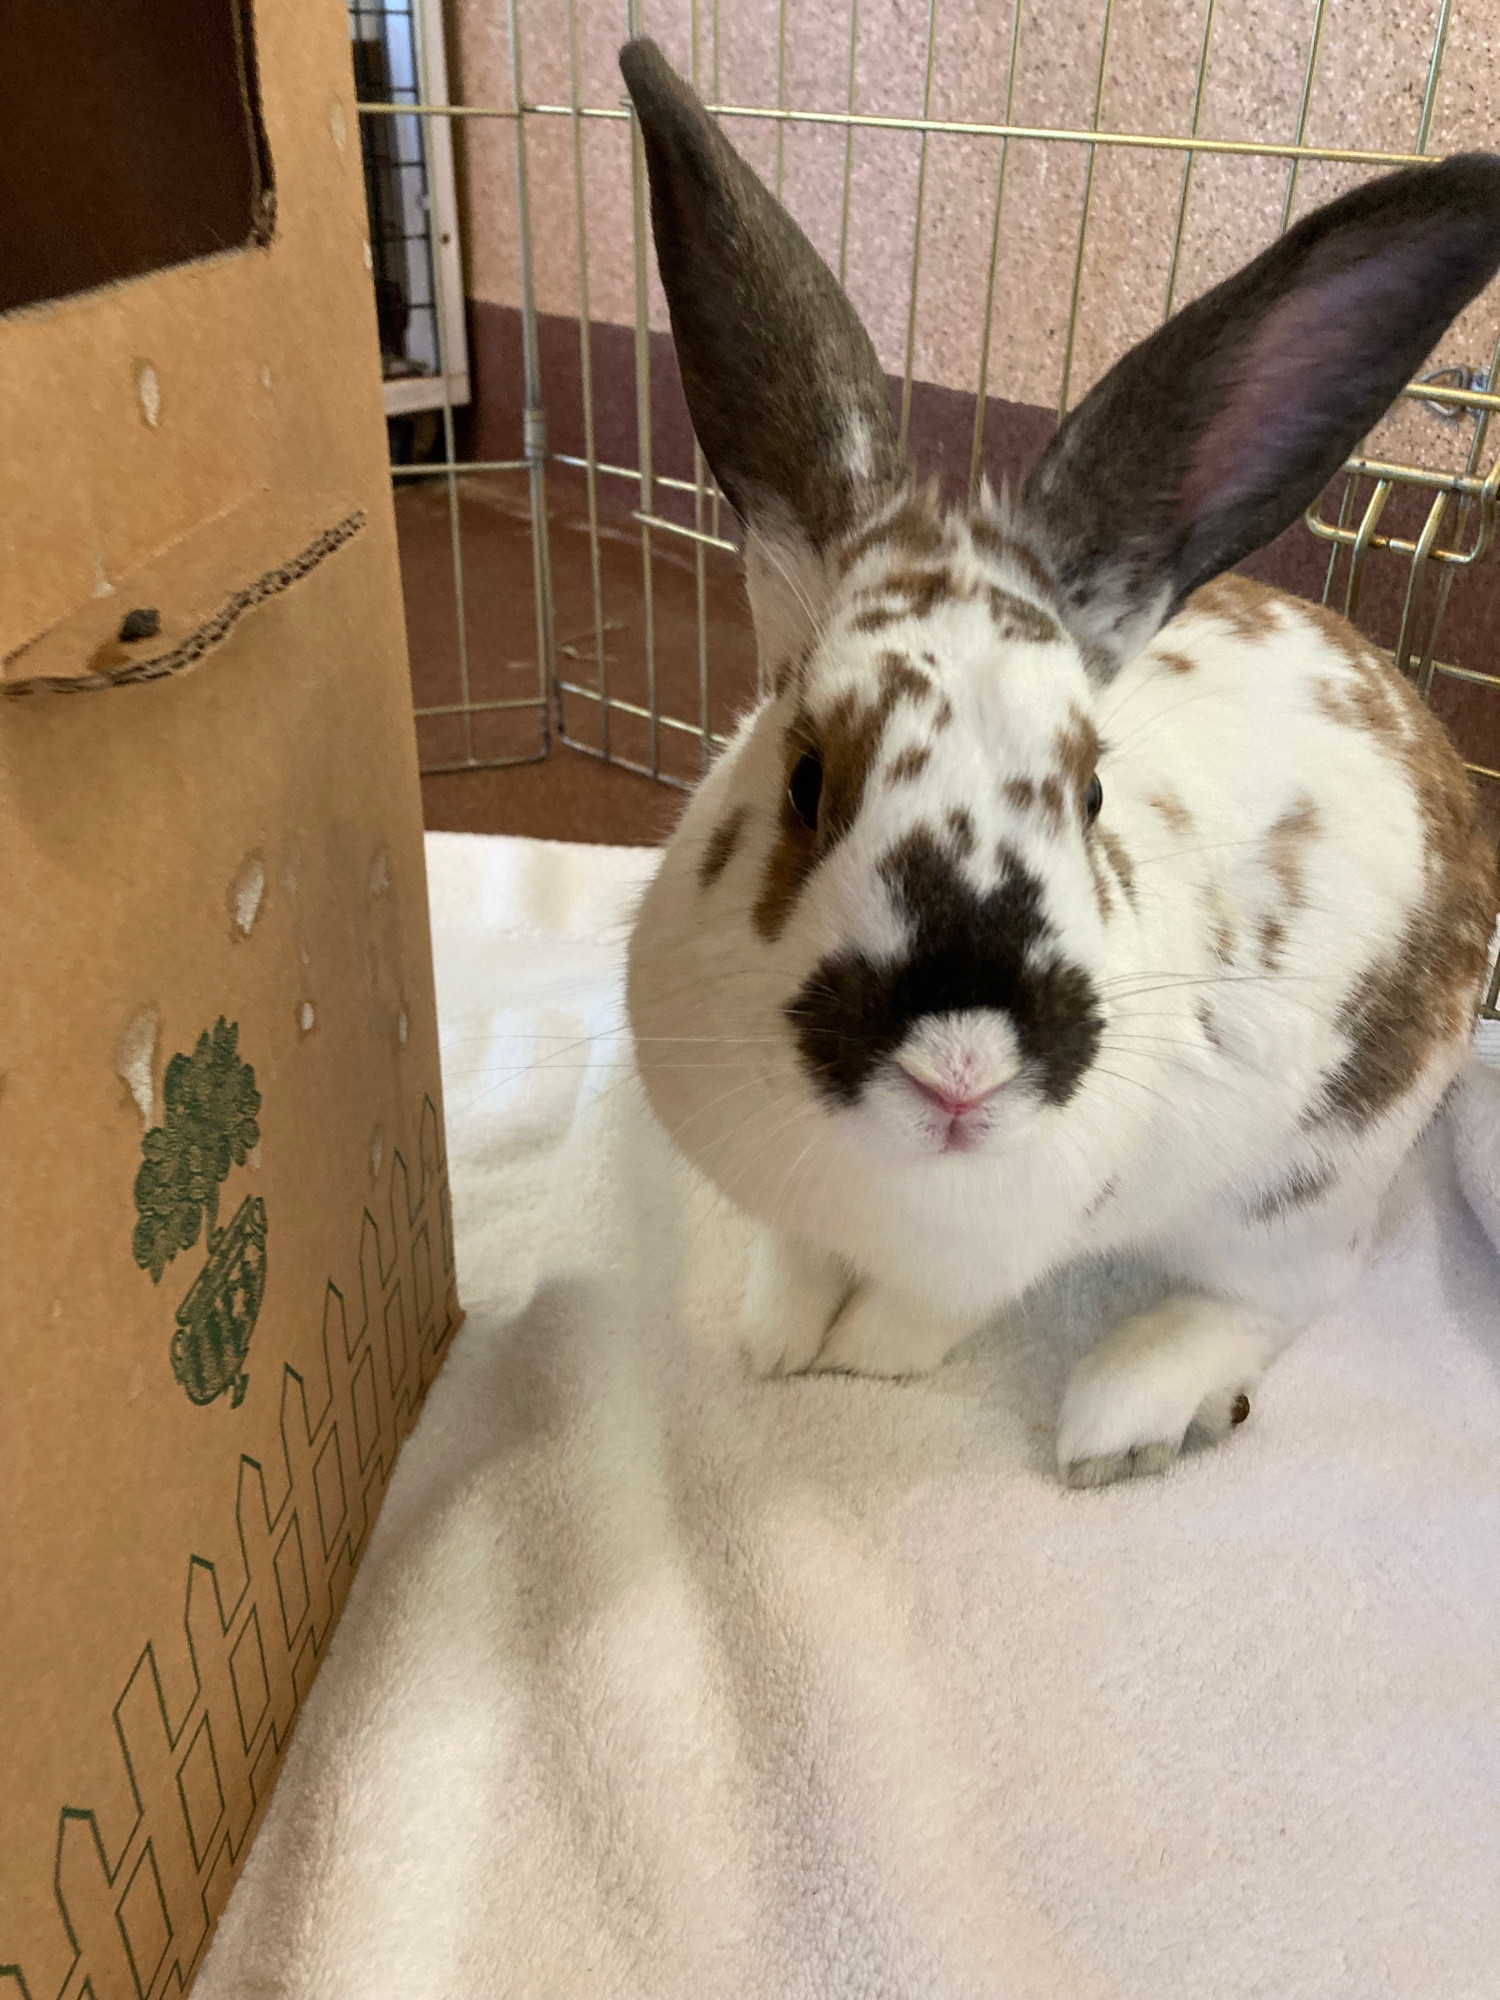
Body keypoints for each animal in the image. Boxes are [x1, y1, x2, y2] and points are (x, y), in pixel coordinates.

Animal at [612, 35, 1500, 1488]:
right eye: (806, 778)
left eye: (1089, 791)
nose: (963, 1068)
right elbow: (795, 1265)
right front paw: (779, 1340)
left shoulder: (995, 1258)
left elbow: (920, 1319)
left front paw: (861, 1359)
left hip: (1303, 1188)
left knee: (1287, 1294)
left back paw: (1126, 1412)